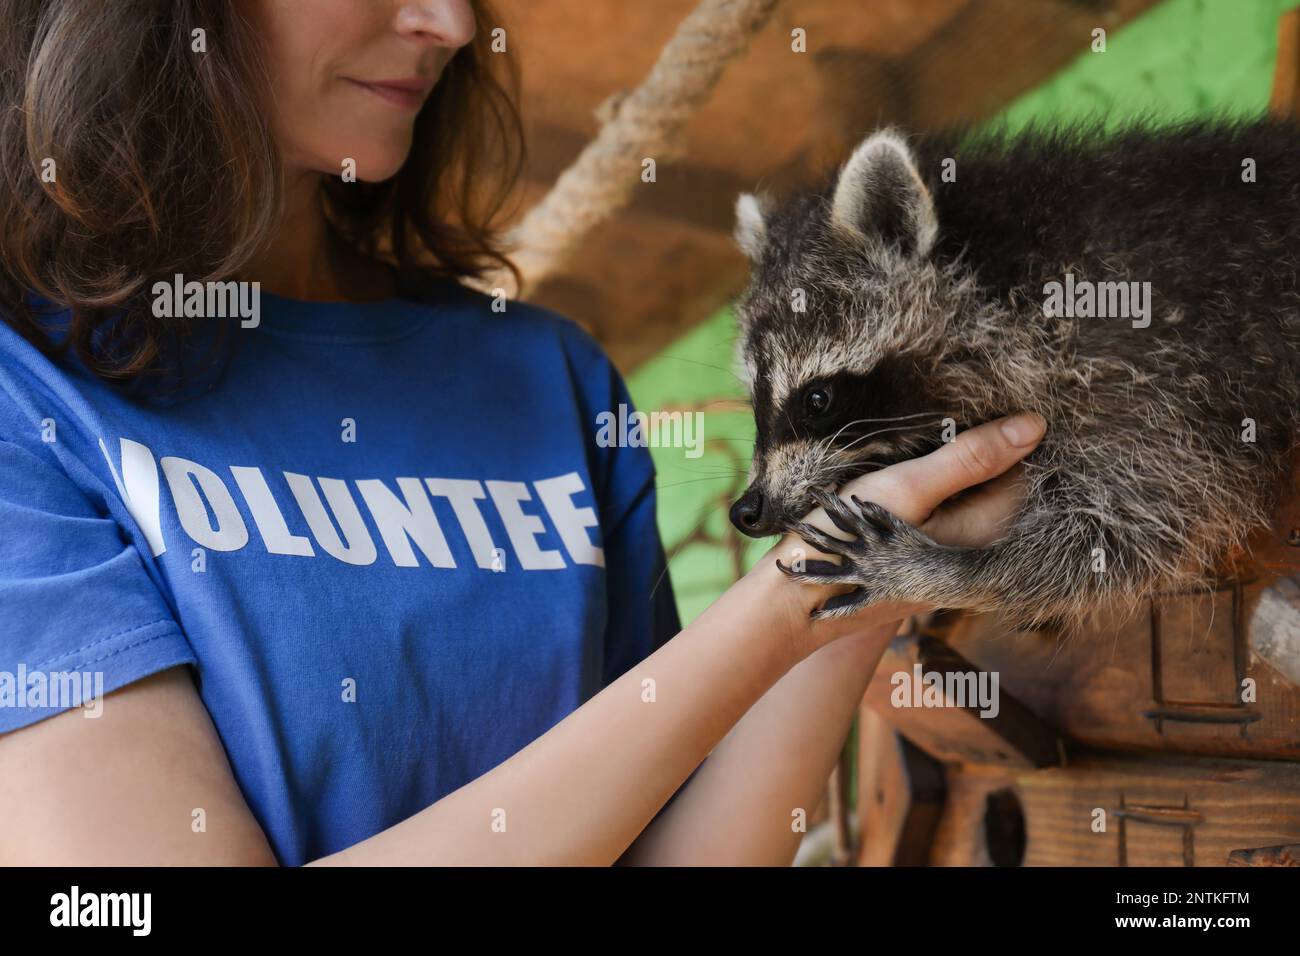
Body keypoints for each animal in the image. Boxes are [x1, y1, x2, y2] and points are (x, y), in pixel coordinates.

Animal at [729, 120, 1300, 625]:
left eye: (817, 400)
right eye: (755, 401)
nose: (746, 511)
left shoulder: (1153, 370)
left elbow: (1139, 528)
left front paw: (947, 572)